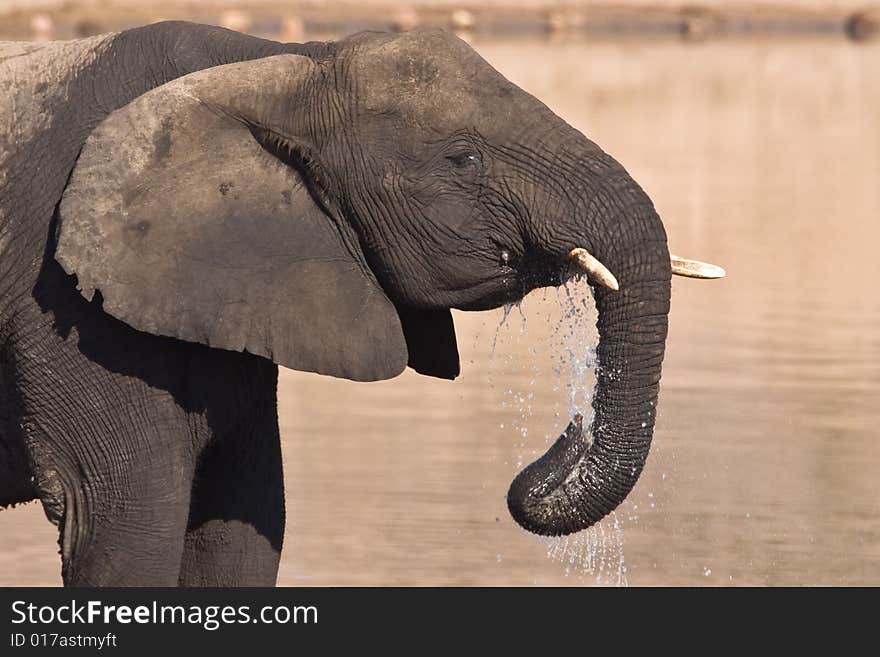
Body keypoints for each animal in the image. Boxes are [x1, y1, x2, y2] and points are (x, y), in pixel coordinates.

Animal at [0, 20, 720, 584]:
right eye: (463, 159)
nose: (570, 434)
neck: (280, 66)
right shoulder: (60, 305)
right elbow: (124, 520)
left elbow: (246, 520)